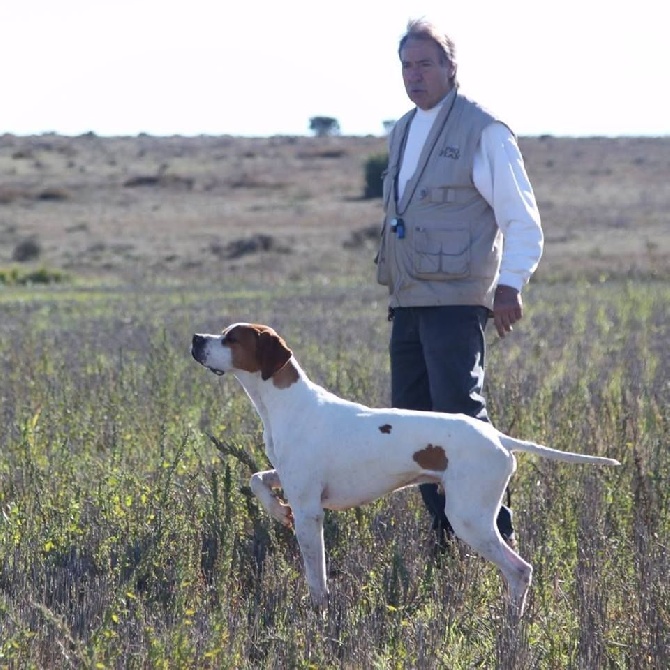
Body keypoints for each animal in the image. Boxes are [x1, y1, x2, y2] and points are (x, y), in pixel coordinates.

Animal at [192, 322, 624, 616]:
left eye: (232, 338)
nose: (196, 338)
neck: (287, 403)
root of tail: (499, 438)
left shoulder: (310, 509)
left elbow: (317, 576)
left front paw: (319, 613)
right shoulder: (290, 480)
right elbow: (257, 479)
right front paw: (275, 510)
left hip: (468, 518)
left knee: (520, 570)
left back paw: (510, 627)